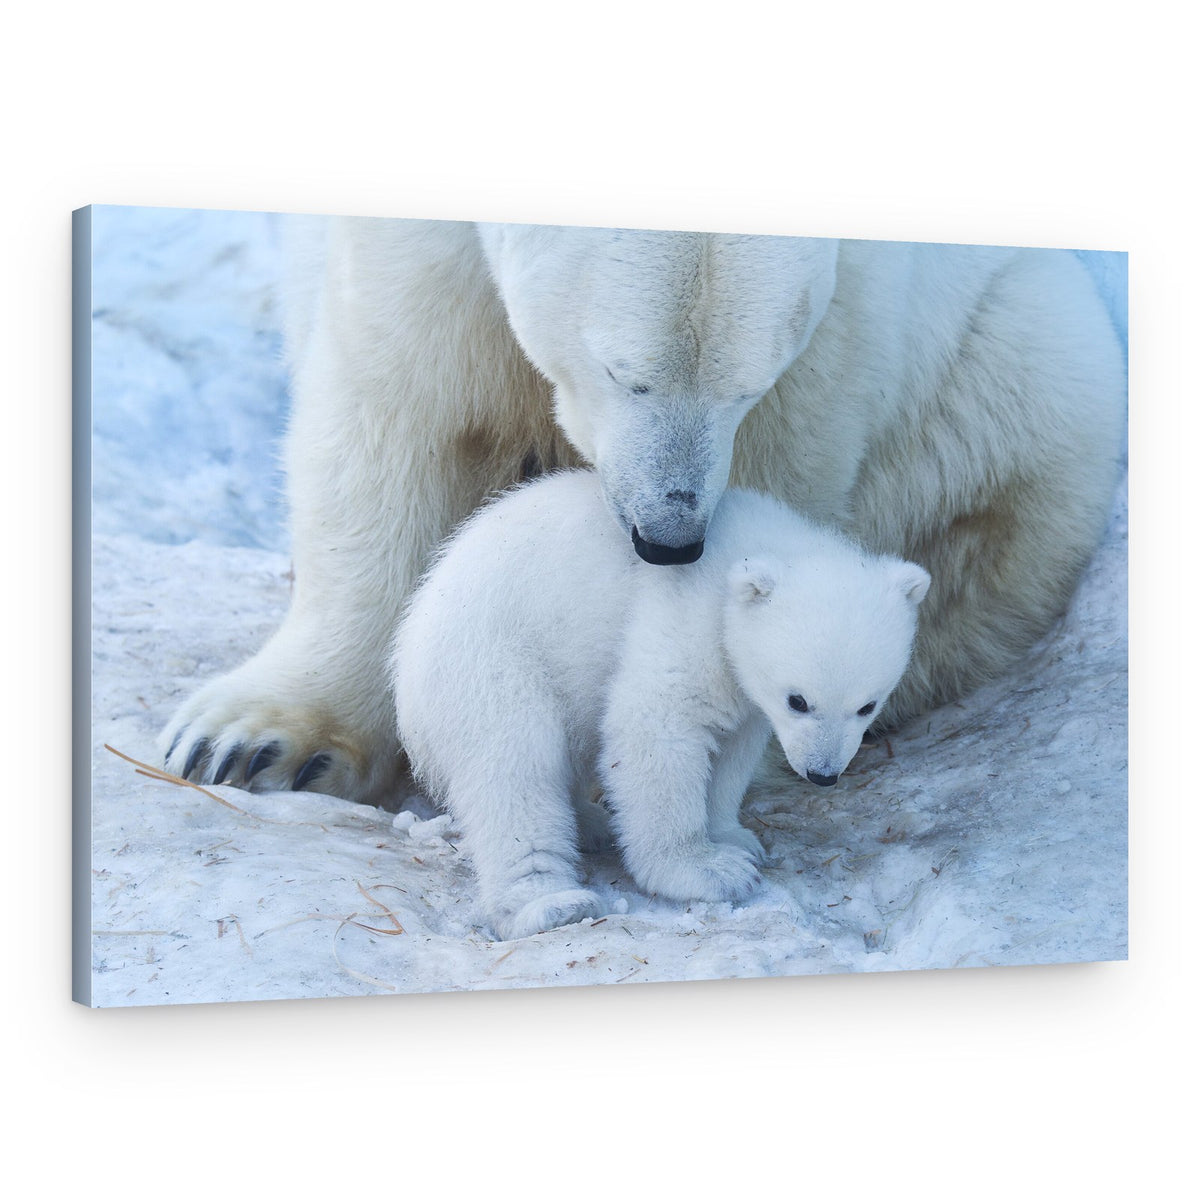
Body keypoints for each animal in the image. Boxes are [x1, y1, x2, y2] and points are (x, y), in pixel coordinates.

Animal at [161, 218, 1125, 808]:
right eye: (625, 372)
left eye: (747, 384)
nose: (668, 538)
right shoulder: (421, 253)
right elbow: (395, 412)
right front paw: (254, 743)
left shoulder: (842, 323)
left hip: (1013, 365)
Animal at [393, 470, 931, 941]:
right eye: (798, 700)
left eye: (867, 706)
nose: (823, 774)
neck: (750, 549)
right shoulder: (684, 616)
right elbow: (656, 727)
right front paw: (709, 870)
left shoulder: (743, 687)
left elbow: (732, 748)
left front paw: (735, 838)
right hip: (491, 664)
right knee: (514, 772)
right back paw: (551, 903)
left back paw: (591, 826)